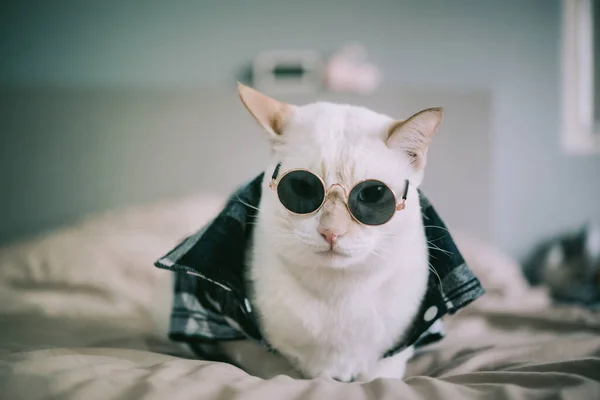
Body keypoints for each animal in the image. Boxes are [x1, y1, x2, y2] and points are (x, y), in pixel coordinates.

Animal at [219, 84, 440, 382]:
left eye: (373, 194)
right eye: (302, 188)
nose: (331, 231)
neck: (337, 296)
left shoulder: (397, 351)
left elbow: (379, 377)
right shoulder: (240, 341)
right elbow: (279, 371)